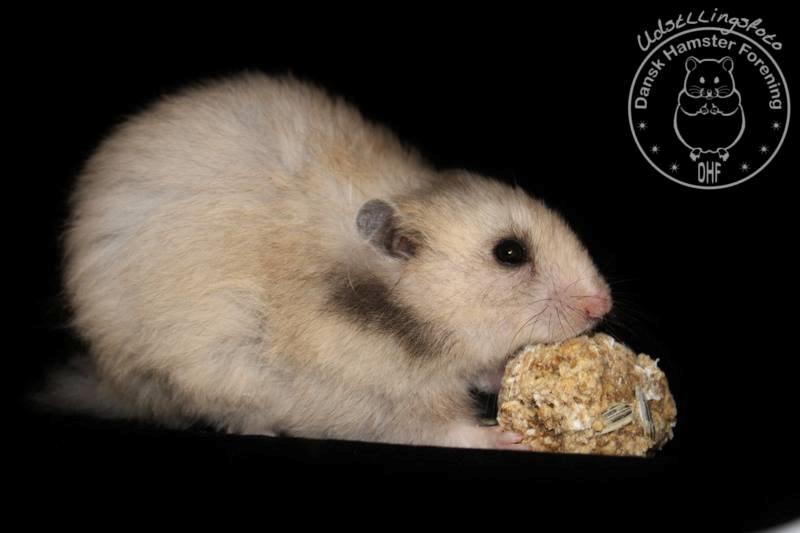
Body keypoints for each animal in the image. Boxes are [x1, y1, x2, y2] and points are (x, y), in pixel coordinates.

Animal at [42, 73, 612, 450]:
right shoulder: (352, 391)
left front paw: (496, 376)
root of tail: (110, 385)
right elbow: (434, 427)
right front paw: (508, 436)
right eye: (510, 253)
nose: (602, 306)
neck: (402, 316)